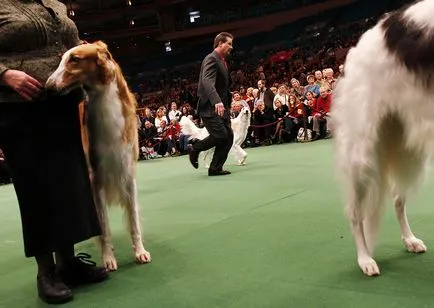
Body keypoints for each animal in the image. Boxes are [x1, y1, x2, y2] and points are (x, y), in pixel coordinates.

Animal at [46, 40, 151, 270]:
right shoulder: (96, 180)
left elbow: (134, 221)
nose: (47, 87)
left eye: (74, 59)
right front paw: (108, 258)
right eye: (62, 59)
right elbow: (104, 227)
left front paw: (140, 252)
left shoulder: (128, 173)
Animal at [332, 0, 434, 278]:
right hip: (363, 154)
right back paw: (365, 258)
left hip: (409, 150)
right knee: (355, 214)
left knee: (398, 199)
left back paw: (409, 239)